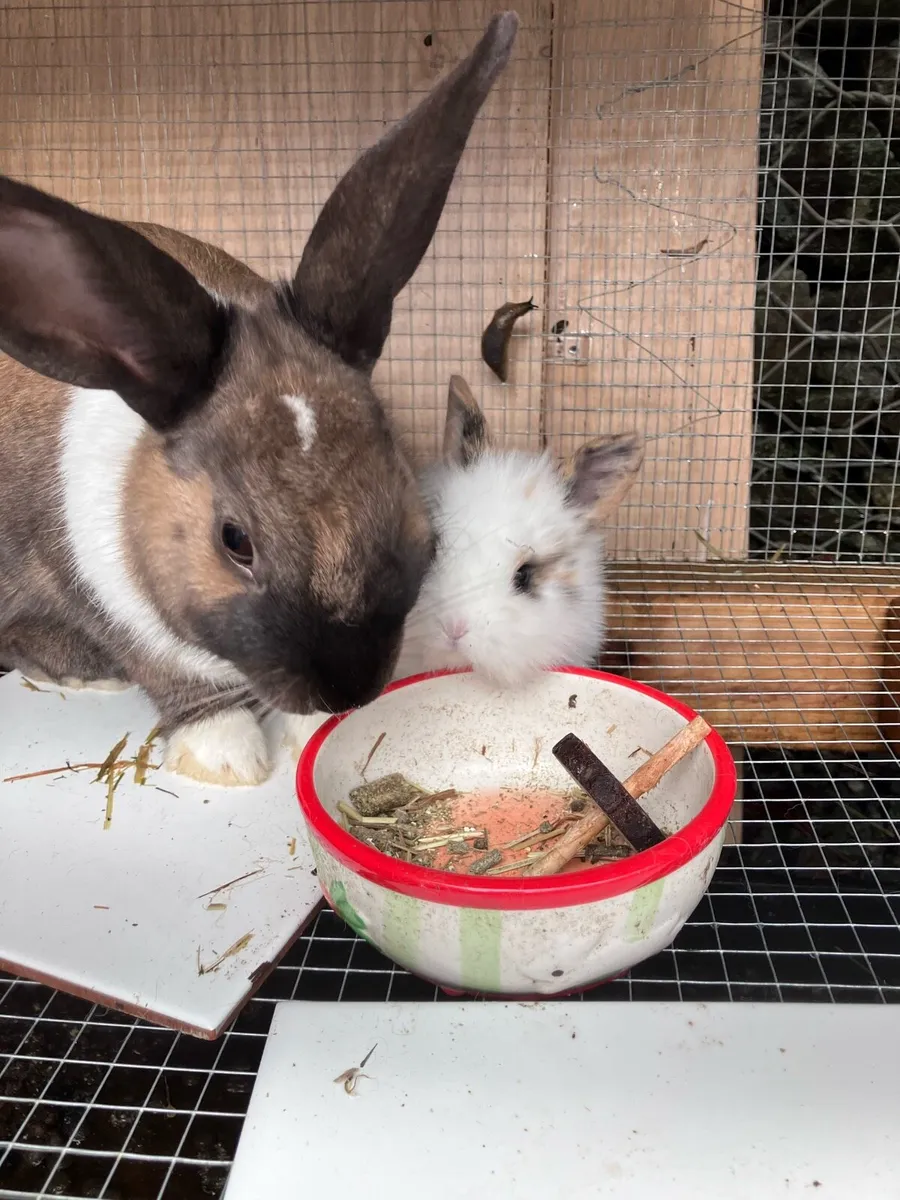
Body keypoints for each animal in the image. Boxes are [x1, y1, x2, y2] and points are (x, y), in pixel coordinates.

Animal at [0, 13, 520, 787]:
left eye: (400, 486)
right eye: (234, 541)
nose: (346, 689)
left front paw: (309, 732)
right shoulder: (111, 605)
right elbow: (176, 679)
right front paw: (226, 756)